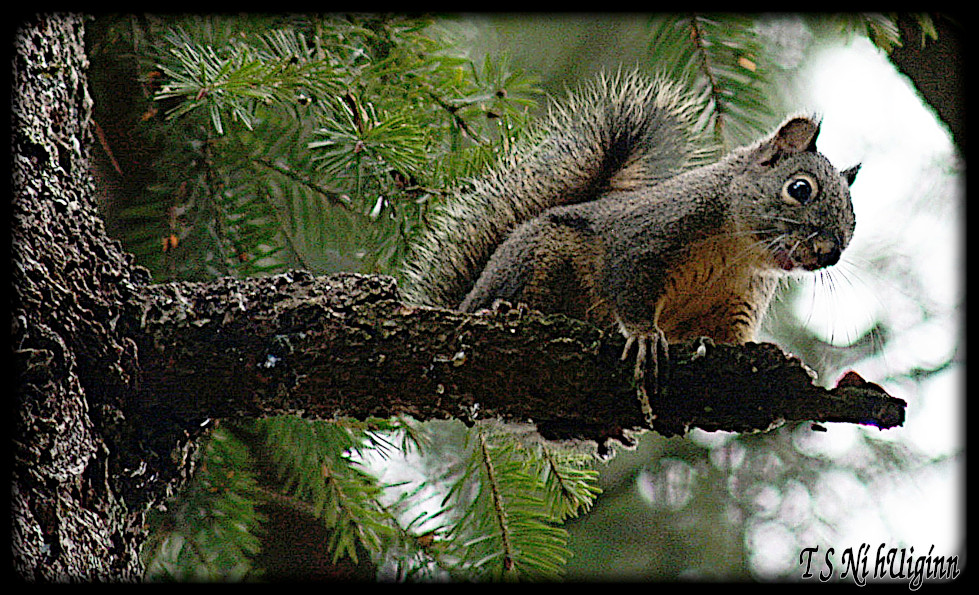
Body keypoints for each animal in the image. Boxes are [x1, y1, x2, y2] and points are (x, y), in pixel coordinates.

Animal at [401, 70, 860, 427]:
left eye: (853, 223)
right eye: (799, 189)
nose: (830, 252)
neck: (737, 251)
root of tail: (464, 300)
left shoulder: (737, 301)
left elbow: (728, 338)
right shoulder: (641, 241)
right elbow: (629, 289)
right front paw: (644, 338)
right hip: (537, 256)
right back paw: (501, 309)